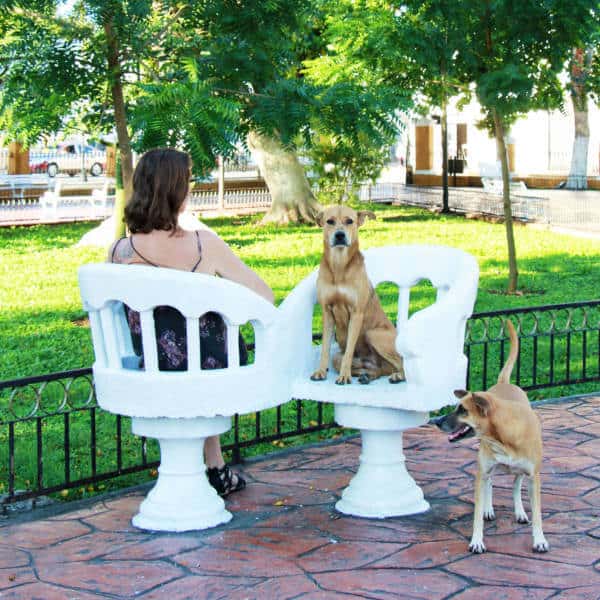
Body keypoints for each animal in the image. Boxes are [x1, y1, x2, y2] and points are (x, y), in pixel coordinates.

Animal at [312, 205, 406, 384]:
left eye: (350, 221)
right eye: (330, 221)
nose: (340, 235)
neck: (339, 266)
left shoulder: (356, 313)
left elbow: (349, 350)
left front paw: (344, 376)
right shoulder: (327, 312)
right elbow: (325, 348)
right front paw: (320, 371)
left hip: (374, 334)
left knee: (402, 363)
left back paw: (397, 376)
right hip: (343, 356)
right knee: (378, 369)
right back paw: (367, 376)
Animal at [434, 318, 548, 552]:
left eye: (463, 410)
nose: (437, 421)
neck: (503, 435)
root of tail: (504, 383)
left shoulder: (534, 476)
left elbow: (538, 513)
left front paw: (540, 540)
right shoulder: (482, 471)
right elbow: (477, 511)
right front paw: (477, 540)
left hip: (520, 471)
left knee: (516, 484)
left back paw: (520, 511)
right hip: (485, 465)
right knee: (489, 483)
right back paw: (489, 508)